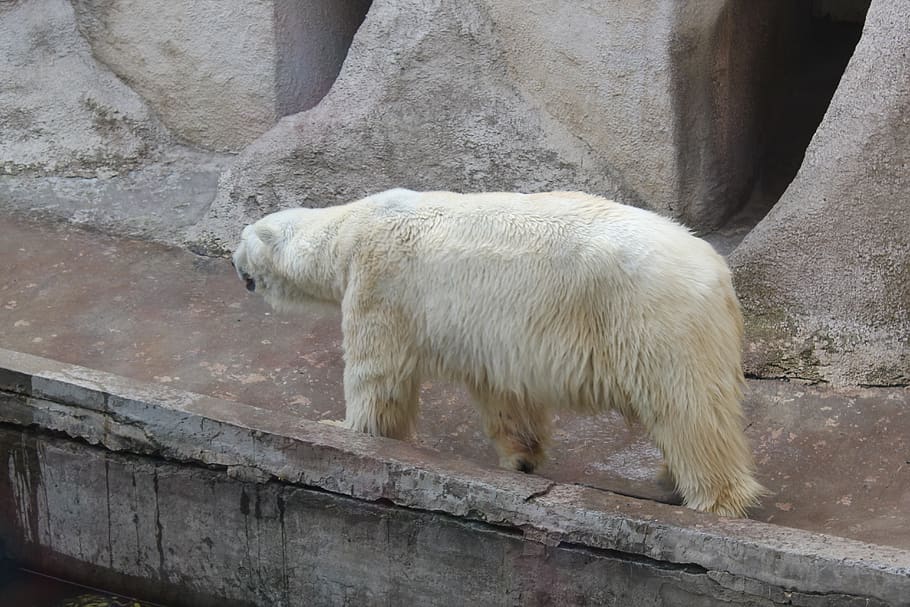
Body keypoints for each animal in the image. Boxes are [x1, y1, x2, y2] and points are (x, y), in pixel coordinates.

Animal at [232, 188, 766, 517]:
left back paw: (712, 499)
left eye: (241, 239)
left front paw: (345, 430)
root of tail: (718, 272)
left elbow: (377, 377)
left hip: (652, 318)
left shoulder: (380, 285)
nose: (233, 262)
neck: (352, 226)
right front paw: (521, 459)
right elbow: (503, 393)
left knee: (688, 408)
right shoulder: (492, 335)